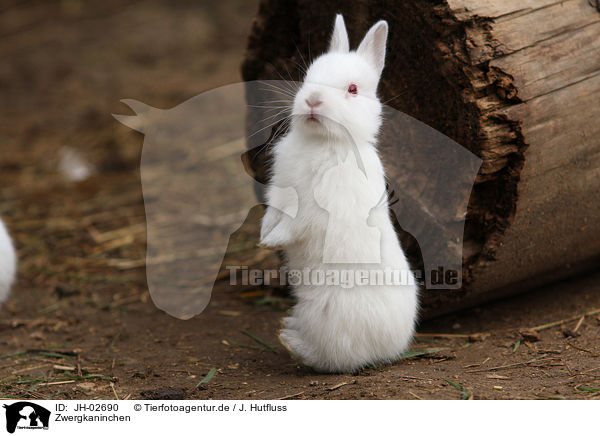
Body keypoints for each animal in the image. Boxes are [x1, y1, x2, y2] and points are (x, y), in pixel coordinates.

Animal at [260, 15, 420, 372]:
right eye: (308, 77)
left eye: (352, 89)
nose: (312, 100)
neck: (324, 142)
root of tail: (389, 348)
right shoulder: (280, 193)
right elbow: (273, 214)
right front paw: (263, 236)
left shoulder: (312, 206)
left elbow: (294, 225)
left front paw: (271, 242)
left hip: (326, 316)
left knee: (333, 357)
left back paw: (289, 341)